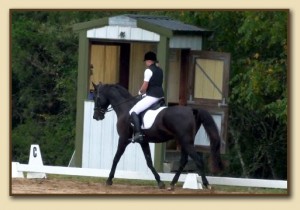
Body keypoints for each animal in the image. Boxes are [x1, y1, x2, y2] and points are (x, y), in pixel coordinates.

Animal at [92, 83, 224, 189]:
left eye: (96, 98)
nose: (96, 116)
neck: (125, 108)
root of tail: (191, 110)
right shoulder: (143, 142)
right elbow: (149, 162)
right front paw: (160, 182)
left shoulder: (123, 139)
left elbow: (116, 158)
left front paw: (109, 180)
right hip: (184, 141)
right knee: (183, 161)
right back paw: (172, 184)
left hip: (186, 142)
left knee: (197, 160)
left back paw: (206, 184)